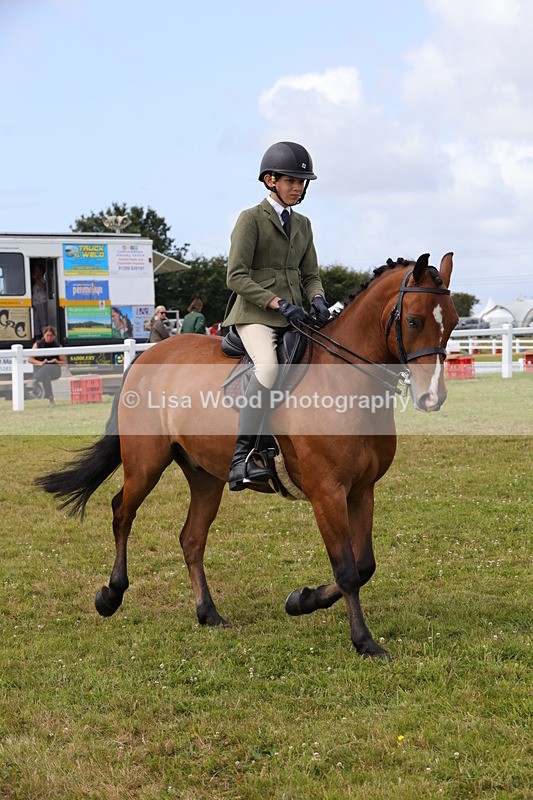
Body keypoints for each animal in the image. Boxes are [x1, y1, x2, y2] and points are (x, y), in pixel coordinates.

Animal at [36, 253, 458, 660]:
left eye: (452, 323)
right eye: (415, 320)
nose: (433, 398)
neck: (345, 378)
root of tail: (146, 355)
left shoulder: (361, 490)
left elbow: (365, 564)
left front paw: (301, 600)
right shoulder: (327, 492)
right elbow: (348, 570)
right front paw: (364, 642)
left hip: (205, 476)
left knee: (191, 538)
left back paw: (208, 613)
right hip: (145, 465)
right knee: (122, 512)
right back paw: (110, 596)